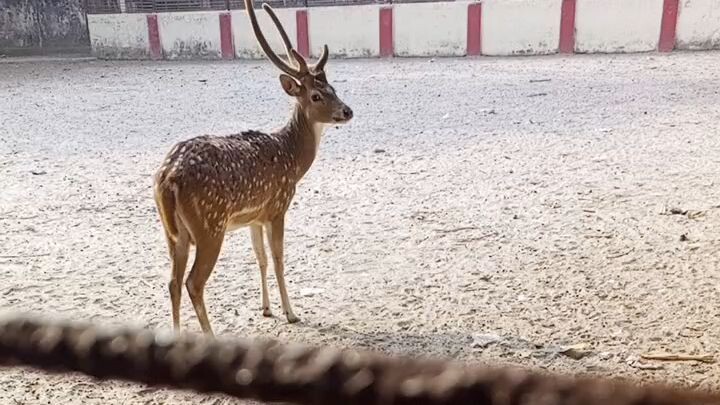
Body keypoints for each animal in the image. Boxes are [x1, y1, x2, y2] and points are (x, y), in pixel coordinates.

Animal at [152, 0, 353, 336]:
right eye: (316, 95)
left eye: (333, 88)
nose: (347, 111)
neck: (292, 159)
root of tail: (168, 178)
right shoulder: (277, 206)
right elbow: (278, 257)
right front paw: (291, 313)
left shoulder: (253, 218)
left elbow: (260, 258)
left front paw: (267, 309)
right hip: (210, 227)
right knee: (194, 282)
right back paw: (210, 336)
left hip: (173, 234)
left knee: (172, 282)